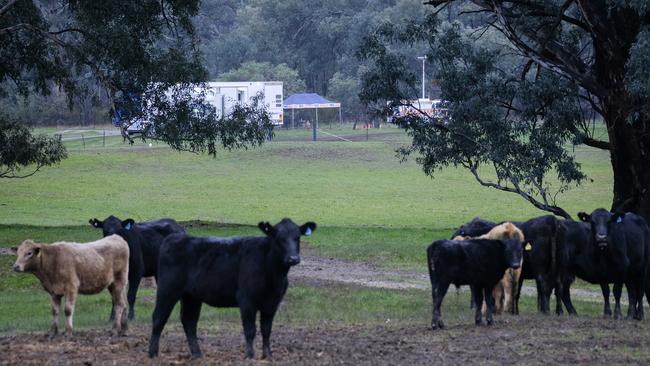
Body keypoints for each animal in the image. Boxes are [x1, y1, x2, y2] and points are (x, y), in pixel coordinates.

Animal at [147, 219, 318, 358]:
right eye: (279, 238)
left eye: (297, 237)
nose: (293, 258)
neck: (273, 274)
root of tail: (175, 238)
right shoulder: (247, 299)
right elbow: (250, 329)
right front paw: (249, 356)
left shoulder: (273, 302)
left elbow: (266, 329)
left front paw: (267, 355)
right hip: (167, 290)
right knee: (158, 318)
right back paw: (153, 353)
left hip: (191, 296)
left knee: (189, 321)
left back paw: (197, 354)